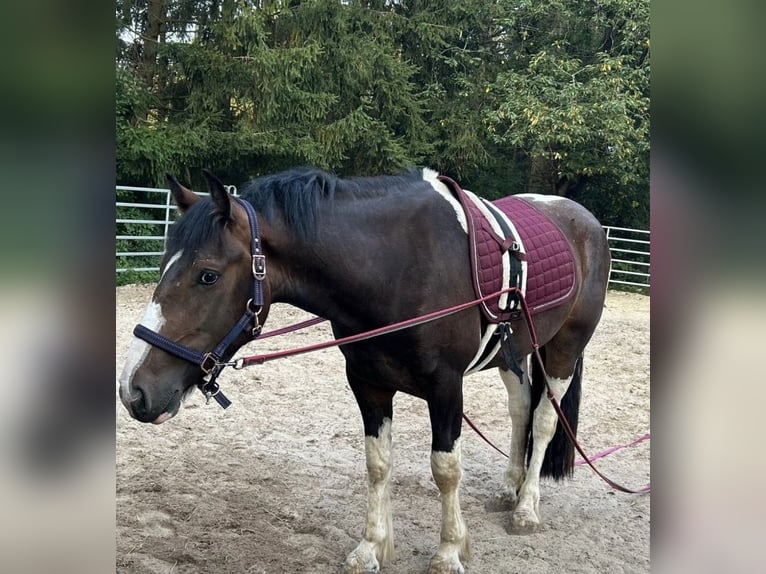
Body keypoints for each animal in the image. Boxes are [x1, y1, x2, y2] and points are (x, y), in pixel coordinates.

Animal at [118, 167, 610, 574]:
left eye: (208, 275)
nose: (133, 391)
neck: (397, 266)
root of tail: (584, 219)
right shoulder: (368, 384)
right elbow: (377, 464)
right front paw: (372, 547)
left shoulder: (446, 387)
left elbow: (446, 468)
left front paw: (449, 552)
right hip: (513, 352)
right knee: (520, 408)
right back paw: (509, 489)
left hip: (564, 349)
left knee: (544, 421)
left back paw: (526, 507)